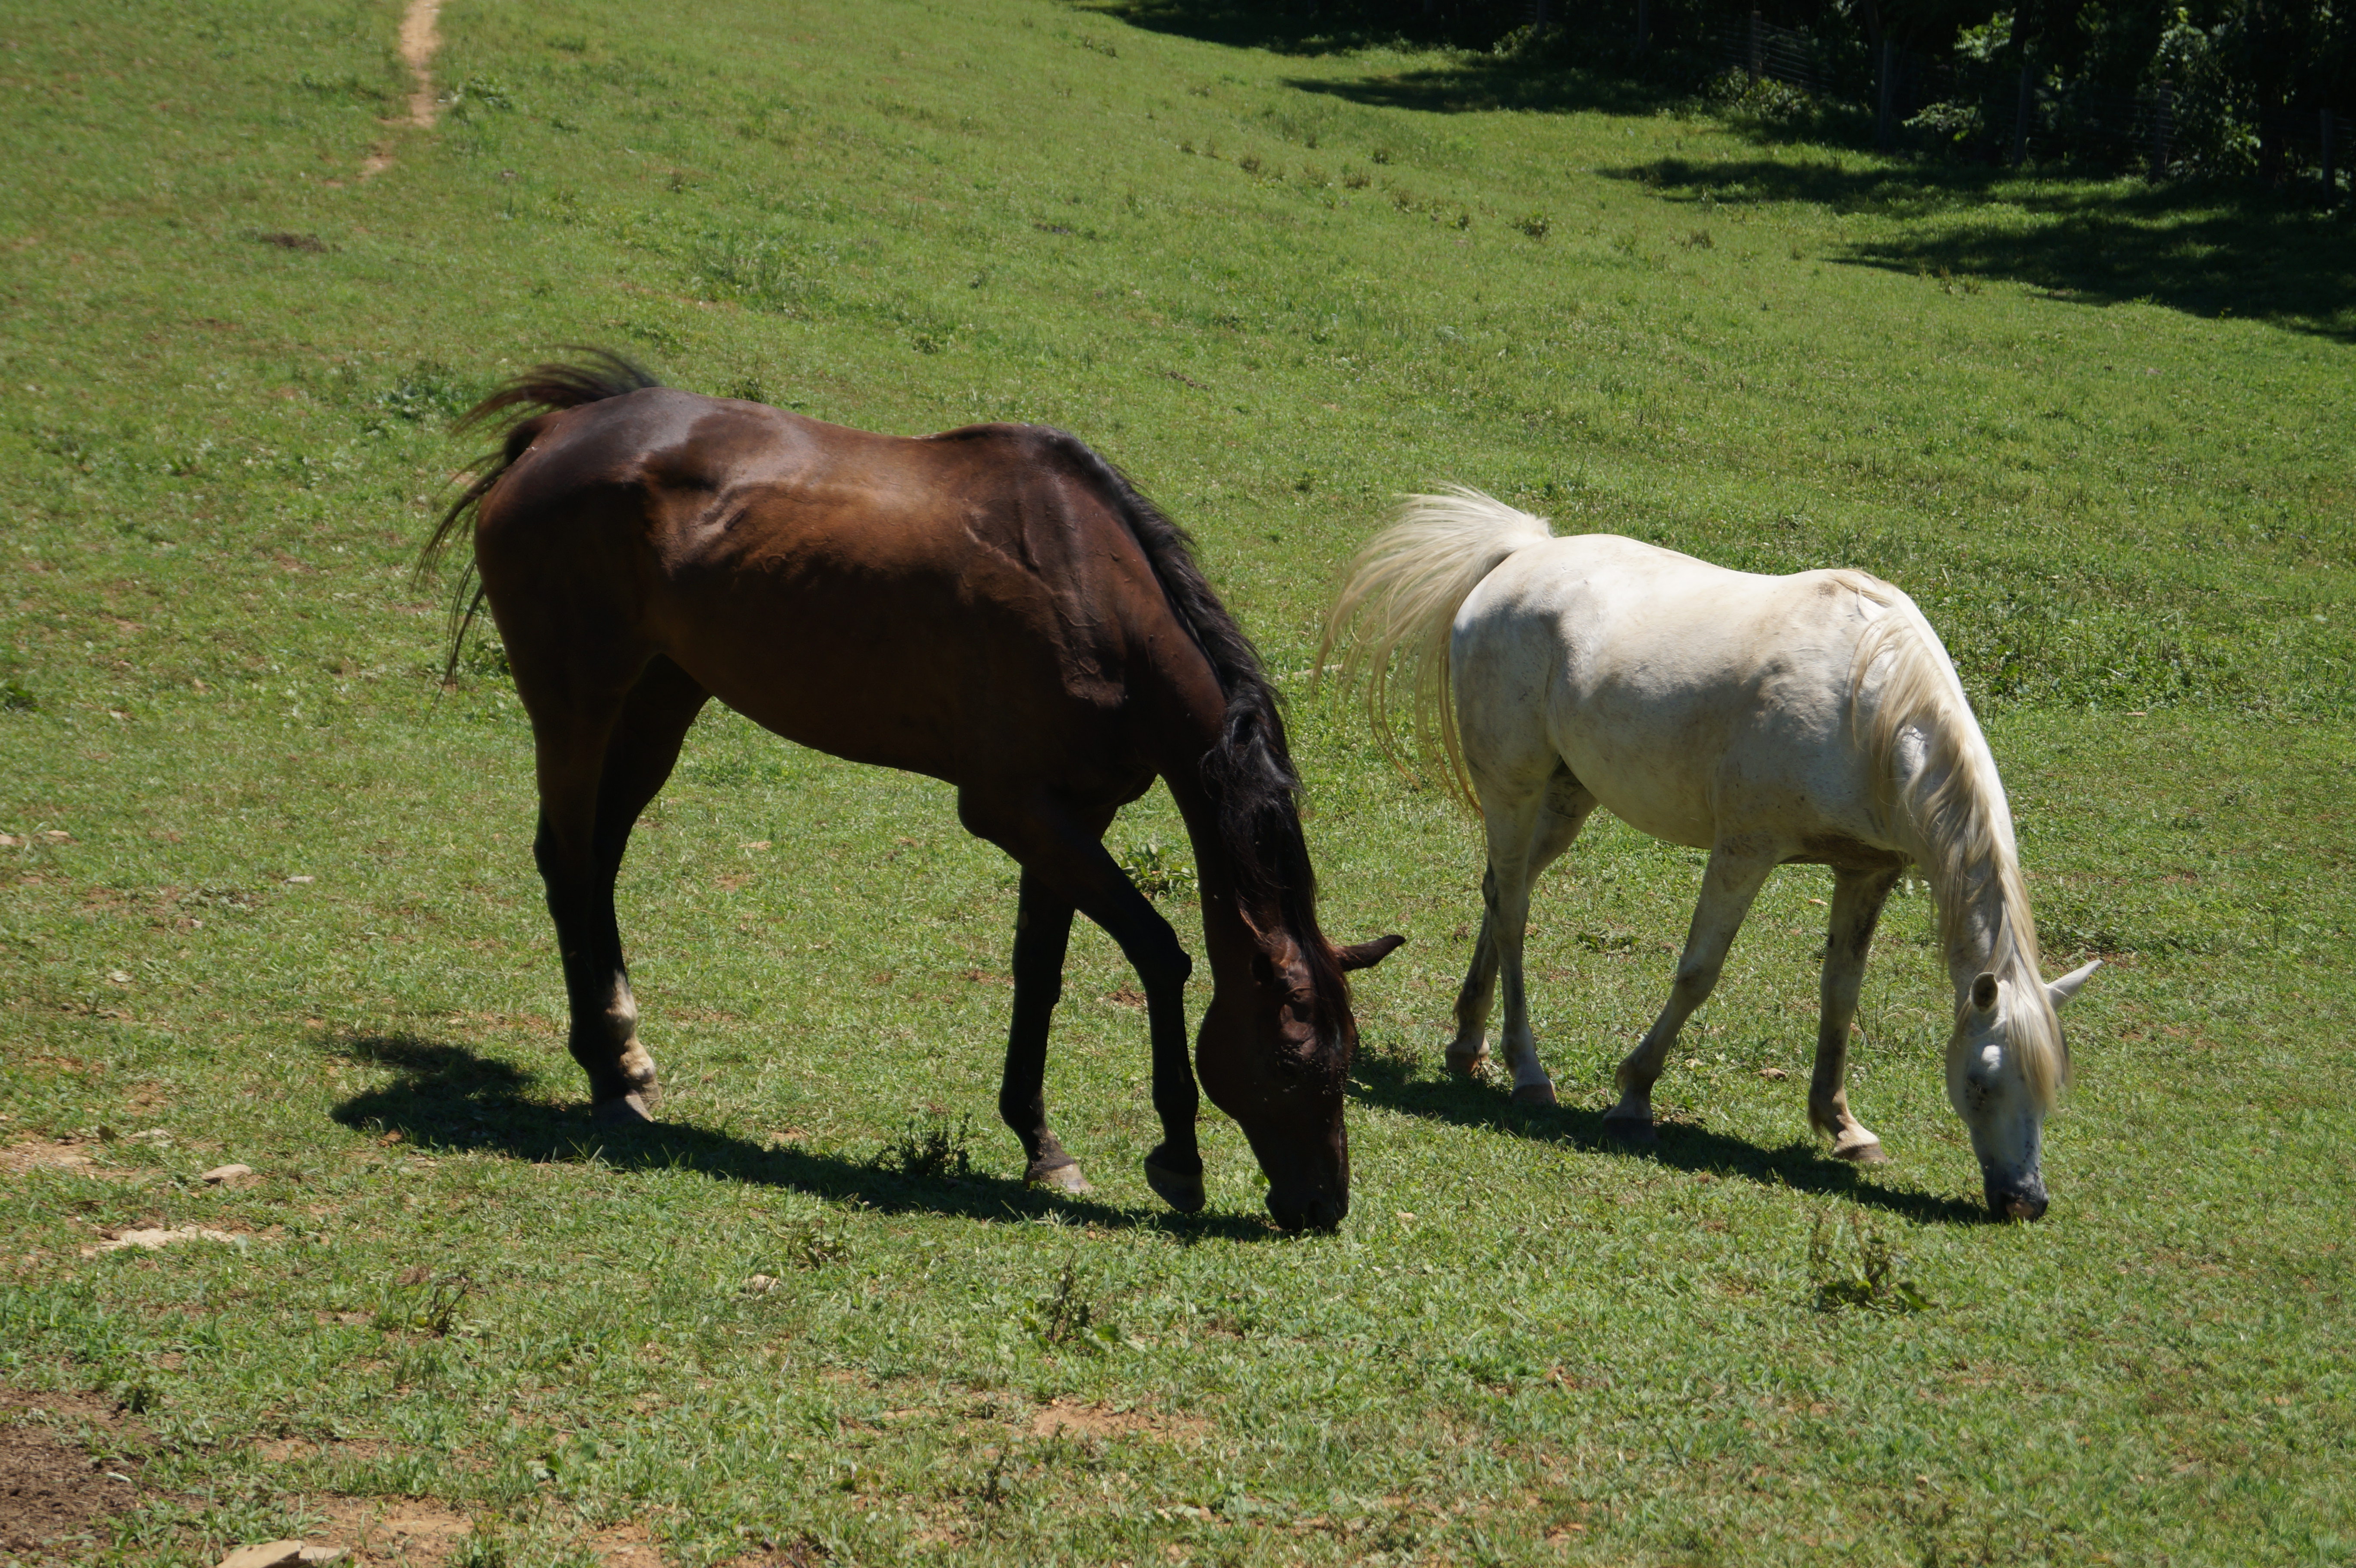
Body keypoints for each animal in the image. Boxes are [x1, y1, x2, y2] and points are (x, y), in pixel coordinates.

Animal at [420, 352, 1401, 1232]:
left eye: (1349, 1063)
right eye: (1290, 1064)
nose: (1323, 1207)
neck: (1089, 591)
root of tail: (556, 434)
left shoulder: (1070, 815)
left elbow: (1038, 970)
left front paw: (1041, 1144)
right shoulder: (1014, 811)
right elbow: (1159, 952)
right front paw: (1178, 1158)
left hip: (662, 698)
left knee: (602, 858)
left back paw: (627, 1053)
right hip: (576, 704)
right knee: (567, 862)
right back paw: (603, 1075)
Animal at [1321, 488, 2099, 1220]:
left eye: (2051, 1087)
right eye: (1982, 1083)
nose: (2025, 1201)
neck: (1867, 704)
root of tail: (1523, 554)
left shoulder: (1866, 870)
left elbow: (1840, 994)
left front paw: (1842, 1124)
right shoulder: (1744, 850)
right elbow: (1699, 972)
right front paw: (1633, 1096)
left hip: (1568, 797)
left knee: (1498, 890)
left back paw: (1468, 1045)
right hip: (1514, 786)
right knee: (1513, 911)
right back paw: (1528, 1072)